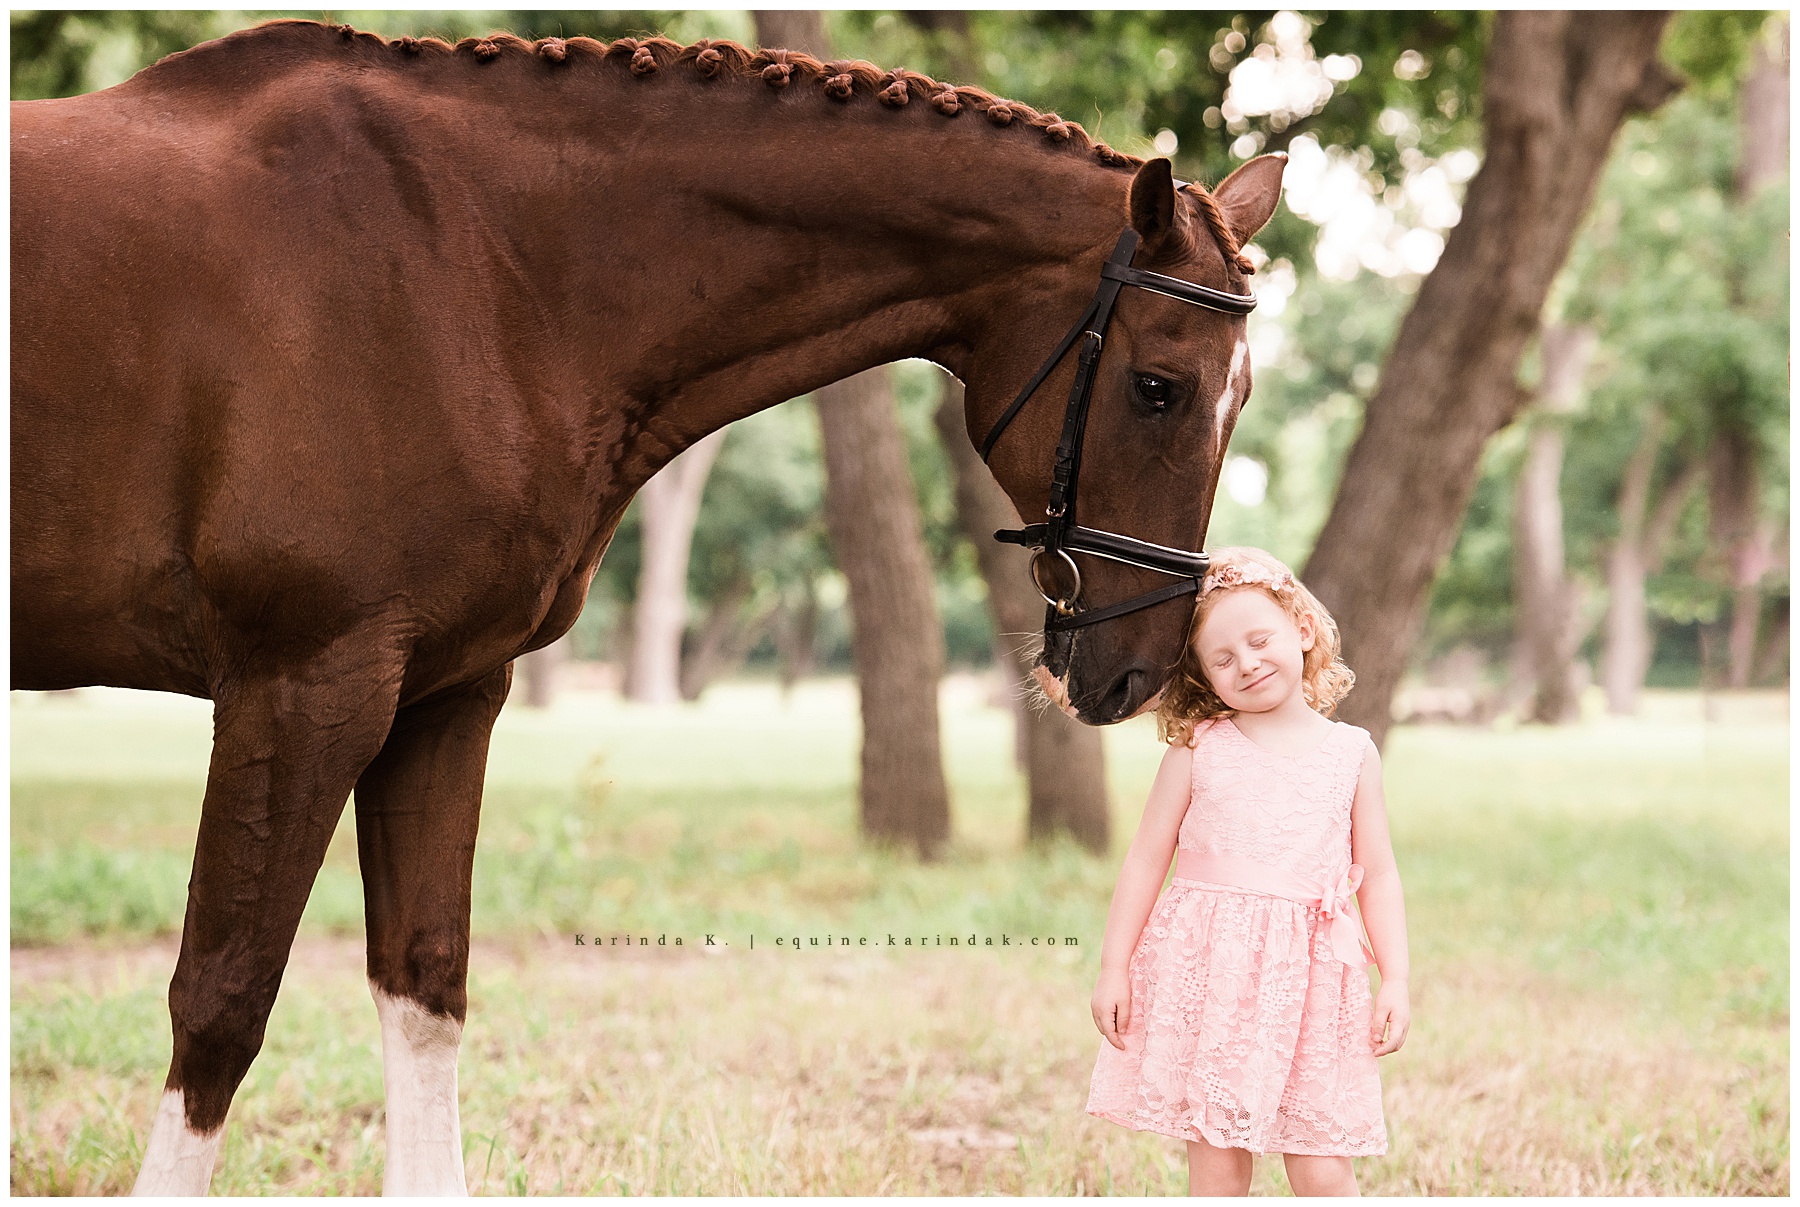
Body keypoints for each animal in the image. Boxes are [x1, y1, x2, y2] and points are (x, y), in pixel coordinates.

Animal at [10, 20, 1284, 1194]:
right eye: (1158, 386)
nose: (1139, 664)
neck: (466, 261)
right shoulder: (301, 687)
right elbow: (221, 1002)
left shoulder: (442, 695)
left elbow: (424, 985)